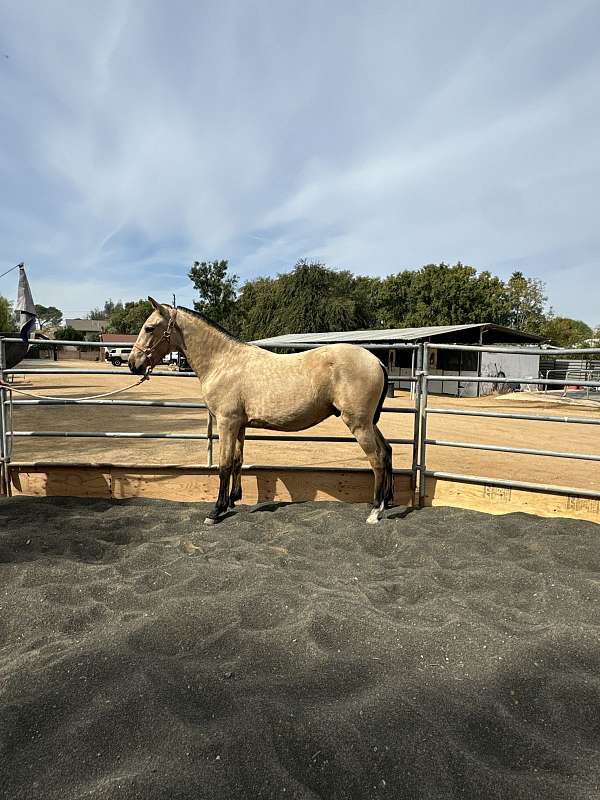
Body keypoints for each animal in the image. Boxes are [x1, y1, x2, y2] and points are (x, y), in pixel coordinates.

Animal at [129, 300, 394, 524]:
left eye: (149, 328)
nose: (133, 364)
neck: (223, 362)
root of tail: (376, 361)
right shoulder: (239, 425)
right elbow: (237, 460)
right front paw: (232, 500)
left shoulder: (226, 423)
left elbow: (224, 465)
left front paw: (216, 511)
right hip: (369, 422)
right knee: (386, 451)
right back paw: (386, 503)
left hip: (358, 423)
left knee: (376, 459)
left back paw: (374, 512)